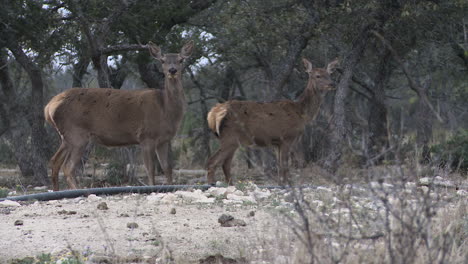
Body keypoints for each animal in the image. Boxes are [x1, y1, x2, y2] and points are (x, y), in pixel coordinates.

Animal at [44, 40, 194, 190]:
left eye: (181, 60)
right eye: (162, 61)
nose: (172, 70)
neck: (165, 109)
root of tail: (48, 107)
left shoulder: (163, 140)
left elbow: (167, 168)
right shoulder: (146, 136)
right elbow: (150, 170)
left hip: (66, 137)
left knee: (54, 161)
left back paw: (57, 191)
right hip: (77, 134)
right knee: (68, 167)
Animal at [207, 58, 338, 185]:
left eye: (330, 74)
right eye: (317, 75)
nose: (332, 84)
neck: (302, 114)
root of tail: (214, 112)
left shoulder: (277, 143)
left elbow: (280, 166)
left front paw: (281, 184)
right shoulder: (287, 138)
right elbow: (284, 166)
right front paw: (286, 185)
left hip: (233, 140)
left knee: (225, 163)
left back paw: (230, 183)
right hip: (230, 137)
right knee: (213, 160)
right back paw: (211, 183)